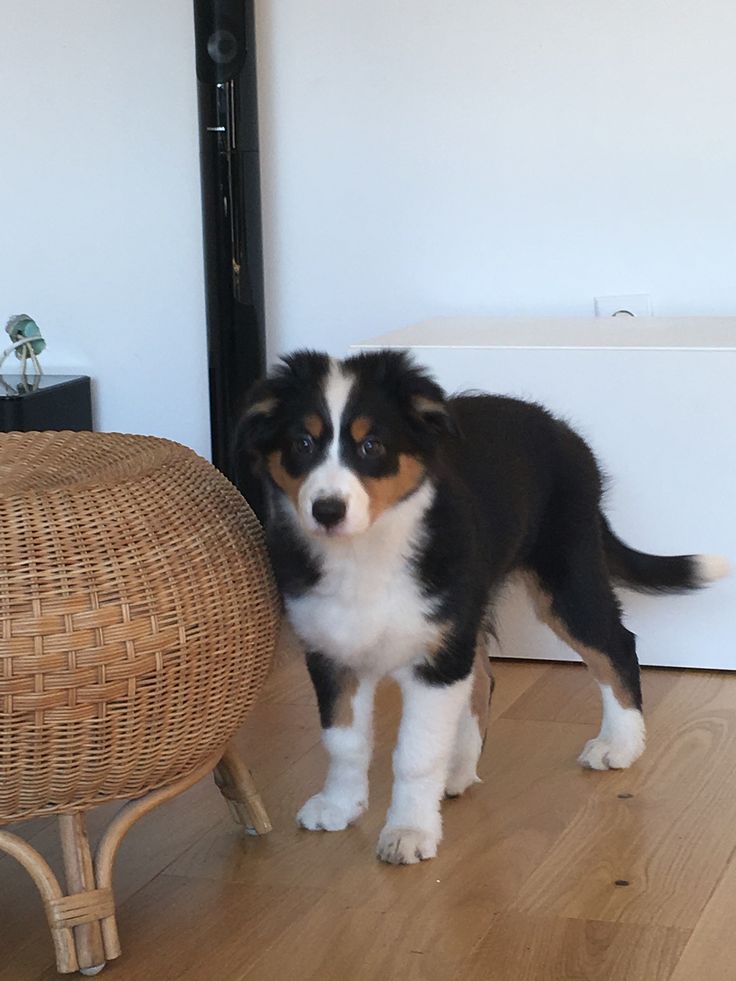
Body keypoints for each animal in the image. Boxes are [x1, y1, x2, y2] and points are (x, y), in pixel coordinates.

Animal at [243, 350, 732, 864]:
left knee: (615, 645)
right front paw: (339, 806)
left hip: (563, 575)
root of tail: (559, 428)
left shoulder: (436, 660)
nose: (327, 510)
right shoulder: (333, 651)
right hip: (472, 604)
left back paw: (620, 744)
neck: (366, 553)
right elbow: (343, 741)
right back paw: (460, 768)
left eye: (372, 445)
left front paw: (409, 831)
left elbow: (417, 754)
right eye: (301, 443)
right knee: (483, 675)